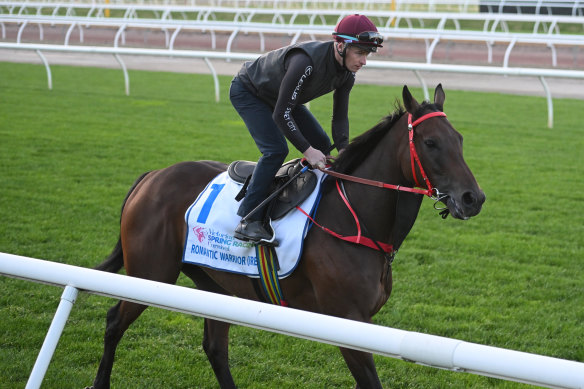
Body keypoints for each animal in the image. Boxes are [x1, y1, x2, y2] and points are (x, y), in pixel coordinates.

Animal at [86, 85, 486, 388]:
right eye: (431, 143)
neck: (354, 218)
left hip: (215, 286)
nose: (473, 198)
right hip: (150, 273)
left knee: (215, 348)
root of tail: (152, 176)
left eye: (460, 139)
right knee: (114, 322)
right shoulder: (348, 318)